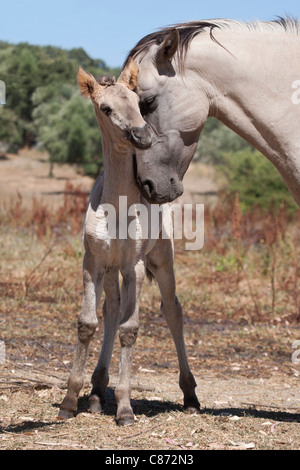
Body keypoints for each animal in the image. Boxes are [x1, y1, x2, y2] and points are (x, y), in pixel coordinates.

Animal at [58, 59, 199, 426]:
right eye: (106, 108)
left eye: (138, 104)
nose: (142, 135)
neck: (117, 209)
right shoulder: (93, 263)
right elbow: (88, 324)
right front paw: (69, 400)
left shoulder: (133, 266)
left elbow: (130, 329)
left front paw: (124, 408)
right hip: (111, 270)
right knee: (112, 309)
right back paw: (96, 392)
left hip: (161, 259)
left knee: (172, 310)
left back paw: (190, 395)